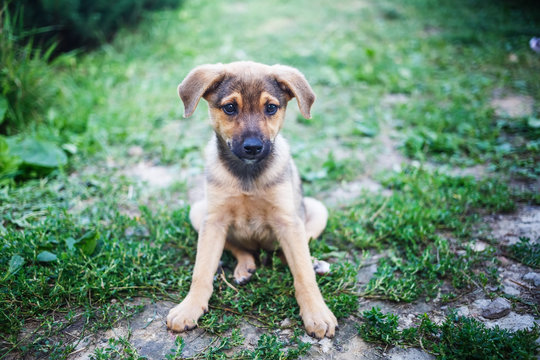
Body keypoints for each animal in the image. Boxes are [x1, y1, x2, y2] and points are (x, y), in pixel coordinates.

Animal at [166, 60, 338, 338]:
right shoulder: (214, 221)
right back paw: (245, 267)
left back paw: (315, 264)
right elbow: (201, 271)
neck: (247, 174)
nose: (253, 147)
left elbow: (302, 274)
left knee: (290, 253)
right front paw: (188, 308)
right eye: (230, 107)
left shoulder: (288, 221)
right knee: (241, 248)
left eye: (271, 108)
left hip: (315, 211)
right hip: (197, 213)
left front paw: (317, 313)